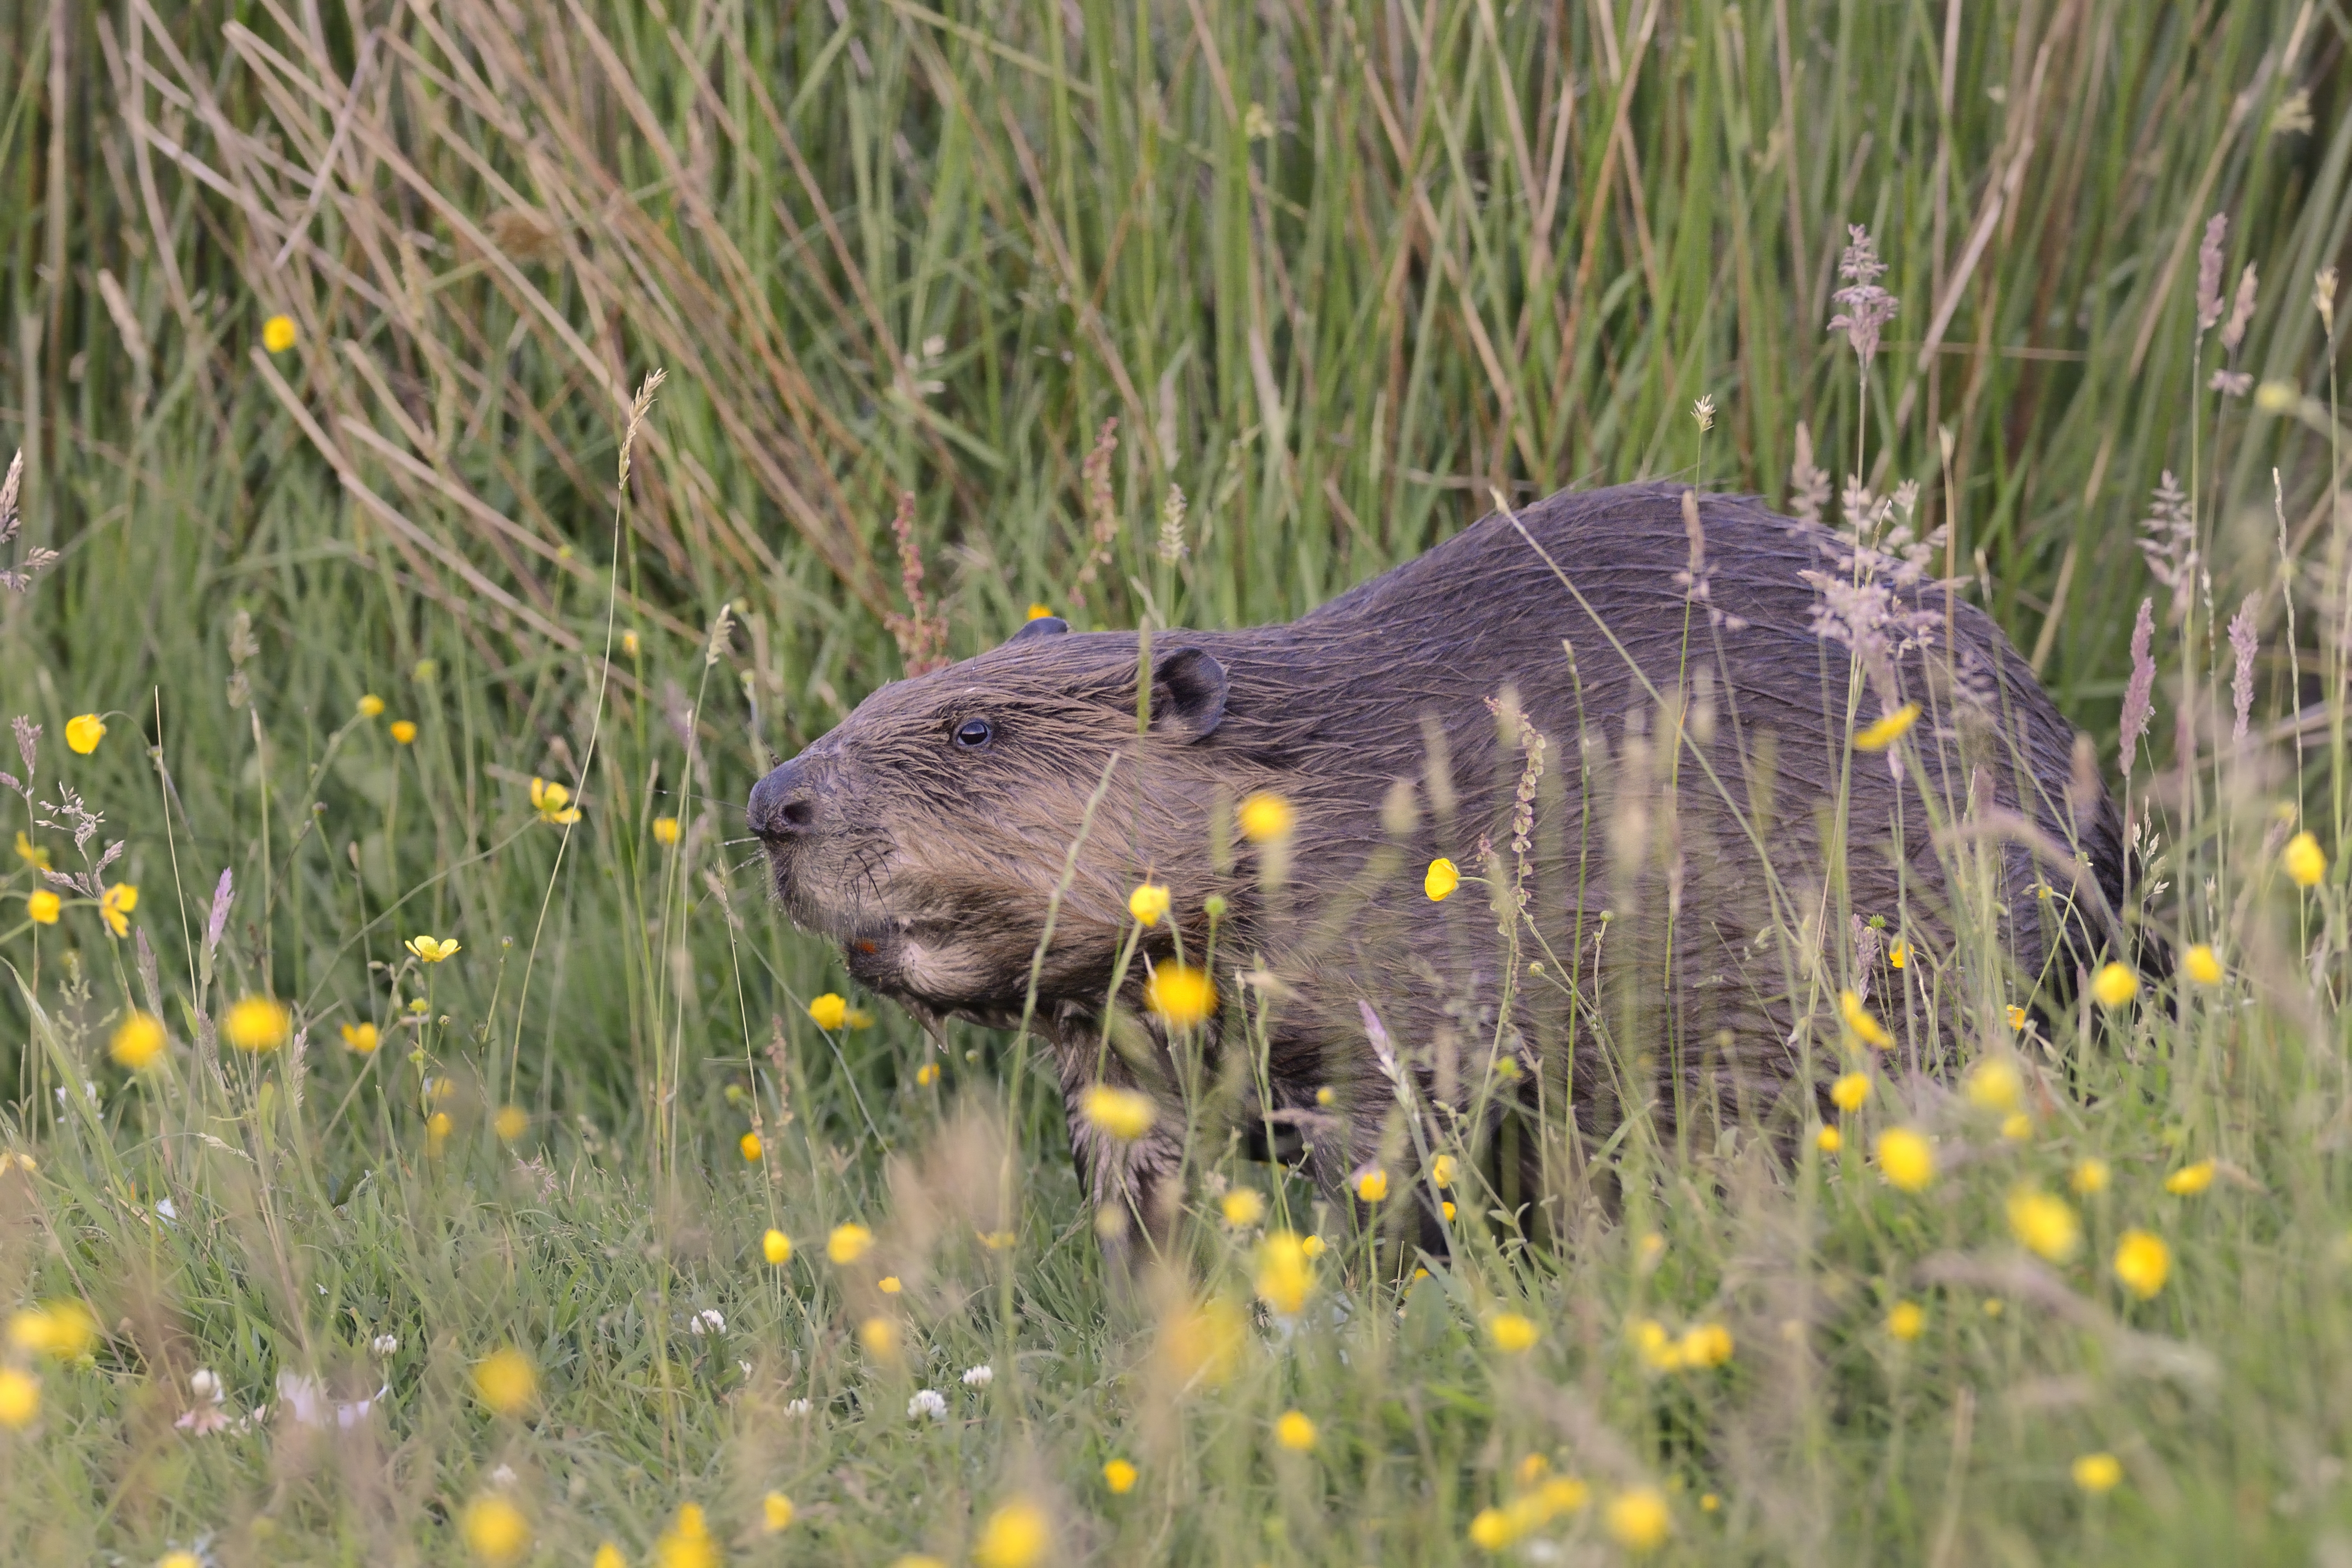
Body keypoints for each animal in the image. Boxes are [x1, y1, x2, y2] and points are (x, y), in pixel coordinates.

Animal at [748, 482, 2135, 1260]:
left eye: (972, 729)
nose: (772, 803)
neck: (1330, 783)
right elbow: (1134, 1177)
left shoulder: (1412, 987)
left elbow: (1392, 1151)